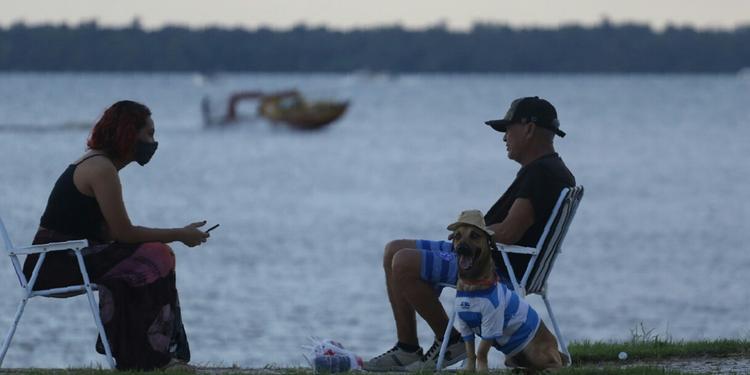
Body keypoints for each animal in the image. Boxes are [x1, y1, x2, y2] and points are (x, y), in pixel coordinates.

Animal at [446, 210, 564, 374]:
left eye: (475, 235)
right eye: (457, 236)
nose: (461, 248)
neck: (473, 283)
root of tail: (556, 347)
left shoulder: (491, 324)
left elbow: (481, 351)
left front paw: (482, 370)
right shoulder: (465, 324)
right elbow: (470, 351)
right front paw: (469, 369)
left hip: (534, 350)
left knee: (557, 364)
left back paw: (547, 369)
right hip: (512, 357)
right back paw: (522, 369)